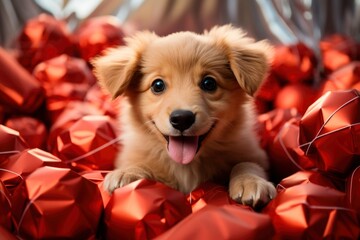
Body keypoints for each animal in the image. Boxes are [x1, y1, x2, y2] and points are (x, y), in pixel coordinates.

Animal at [93, 25, 276, 207]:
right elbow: (142, 165)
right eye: (157, 85)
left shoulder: (256, 155)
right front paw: (127, 173)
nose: (182, 119)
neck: (186, 166)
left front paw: (250, 181)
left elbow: (246, 164)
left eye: (209, 83)